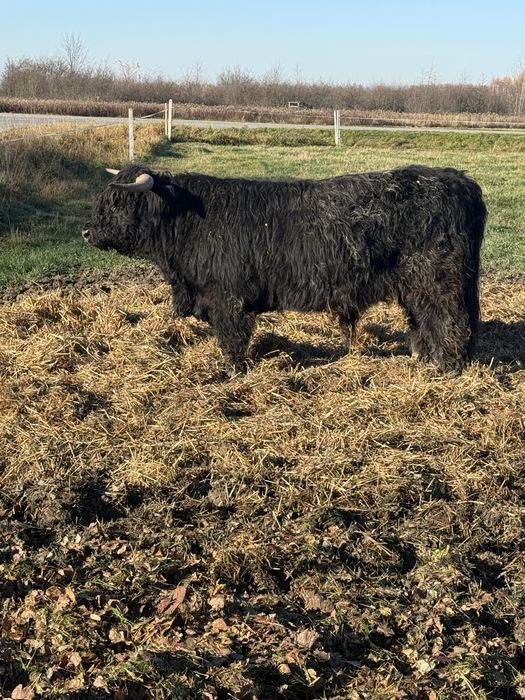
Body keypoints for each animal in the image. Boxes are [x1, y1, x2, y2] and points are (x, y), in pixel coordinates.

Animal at [82, 163, 486, 375]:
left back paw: (446, 367)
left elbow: (232, 339)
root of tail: (458, 179)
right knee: (424, 321)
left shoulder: (227, 297)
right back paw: (423, 358)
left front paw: (232, 371)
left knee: (451, 322)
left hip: (439, 281)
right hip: (414, 286)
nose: (87, 231)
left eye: (117, 203)